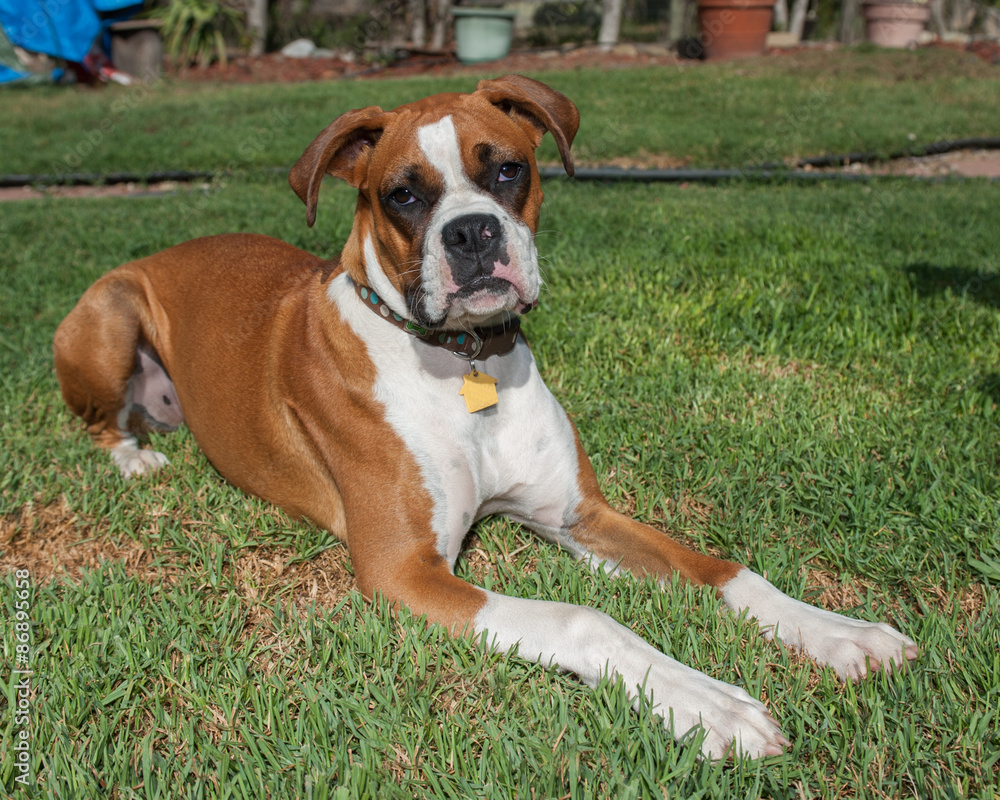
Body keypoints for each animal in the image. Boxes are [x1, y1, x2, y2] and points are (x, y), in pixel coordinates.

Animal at [52, 76, 916, 764]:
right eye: (401, 194)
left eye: (508, 169)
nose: (472, 232)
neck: (466, 365)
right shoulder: (405, 571)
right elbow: (584, 620)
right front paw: (708, 706)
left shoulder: (579, 516)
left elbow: (727, 571)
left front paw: (841, 634)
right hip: (107, 314)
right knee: (102, 420)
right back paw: (136, 457)